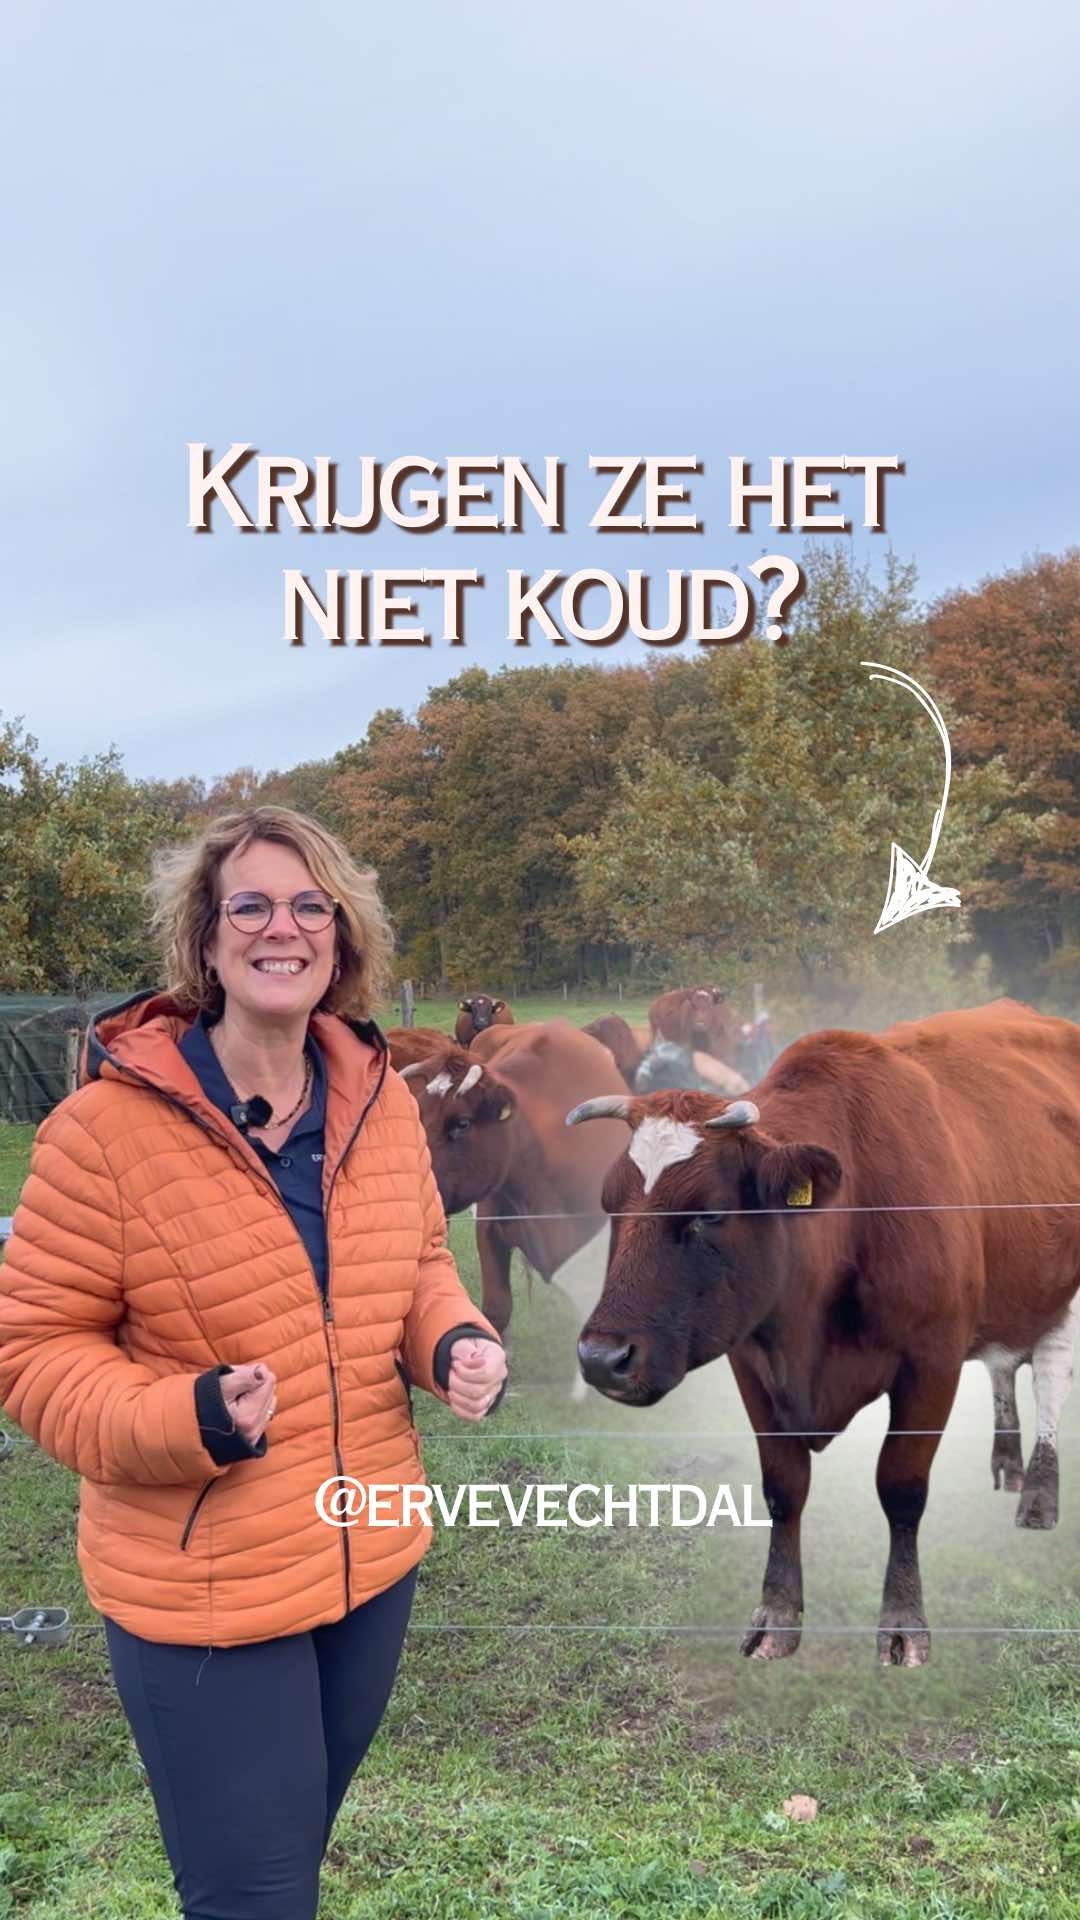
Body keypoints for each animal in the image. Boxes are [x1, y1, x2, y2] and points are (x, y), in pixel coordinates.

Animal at [566, 1001, 1080, 1667]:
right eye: (611, 1206)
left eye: (709, 1212)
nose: (602, 1357)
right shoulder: (751, 1362)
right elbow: (783, 1487)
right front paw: (777, 1613)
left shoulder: (931, 1362)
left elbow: (901, 1486)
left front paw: (903, 1621)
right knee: (1002, 1364)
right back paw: (1007, 1465)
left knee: (1051, 1374)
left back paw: (1039, 1494)